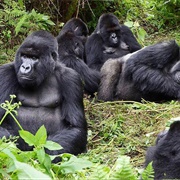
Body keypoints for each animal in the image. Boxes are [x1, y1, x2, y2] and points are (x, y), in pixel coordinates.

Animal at [0, 29, 87, 162]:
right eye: (24, 56)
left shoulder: (72, 79)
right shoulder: (4, 75)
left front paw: (46, 154)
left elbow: (76, 127)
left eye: (34, 58)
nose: (25, 67)